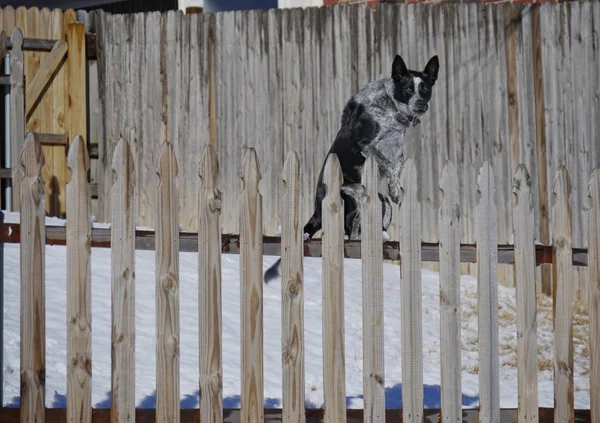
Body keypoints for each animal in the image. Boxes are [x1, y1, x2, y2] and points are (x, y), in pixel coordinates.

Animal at [264, 53, 438, 284]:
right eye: (408, 88)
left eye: (425, 88)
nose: (421, 103)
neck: (392, 109)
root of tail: (317, 212)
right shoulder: (364, 145)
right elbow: (385, 162)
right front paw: (394, 188)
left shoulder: (398, 150)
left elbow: (397, 166)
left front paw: (395, 188)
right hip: (353, 195)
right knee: (353, 231)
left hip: (381, 202)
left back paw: (382, 235)